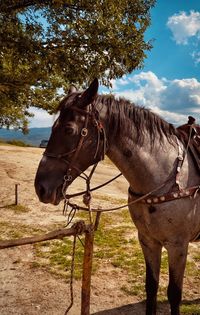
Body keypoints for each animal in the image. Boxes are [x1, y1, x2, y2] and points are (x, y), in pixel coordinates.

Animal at [34, 78, 200, 314]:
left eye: (68, 129)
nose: (41, 188)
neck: (168, 176)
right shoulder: (148, 241)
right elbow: (151, 286)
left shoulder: (178, 246)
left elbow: (174, 294)